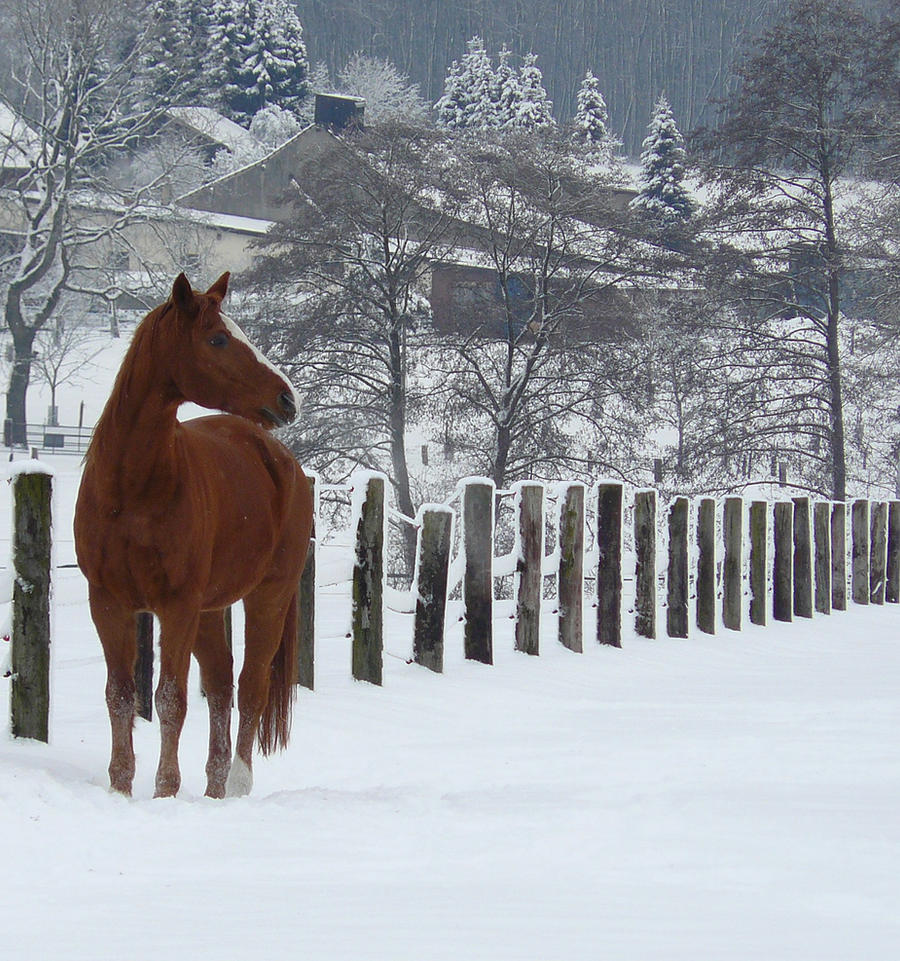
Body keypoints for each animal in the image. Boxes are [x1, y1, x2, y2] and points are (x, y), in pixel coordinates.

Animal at [74, 272, 313, 799]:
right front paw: (121, 788)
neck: (132, 490)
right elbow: (120, 696)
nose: (288, 399)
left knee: (251, 685)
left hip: (267, 596)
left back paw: (238, 783)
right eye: (219, 339)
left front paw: (164, 790)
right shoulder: (108, 602)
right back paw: (214, 788)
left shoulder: (176, 606)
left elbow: (170, 700)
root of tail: (283, 460)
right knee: (222, 684)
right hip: (209, 609)